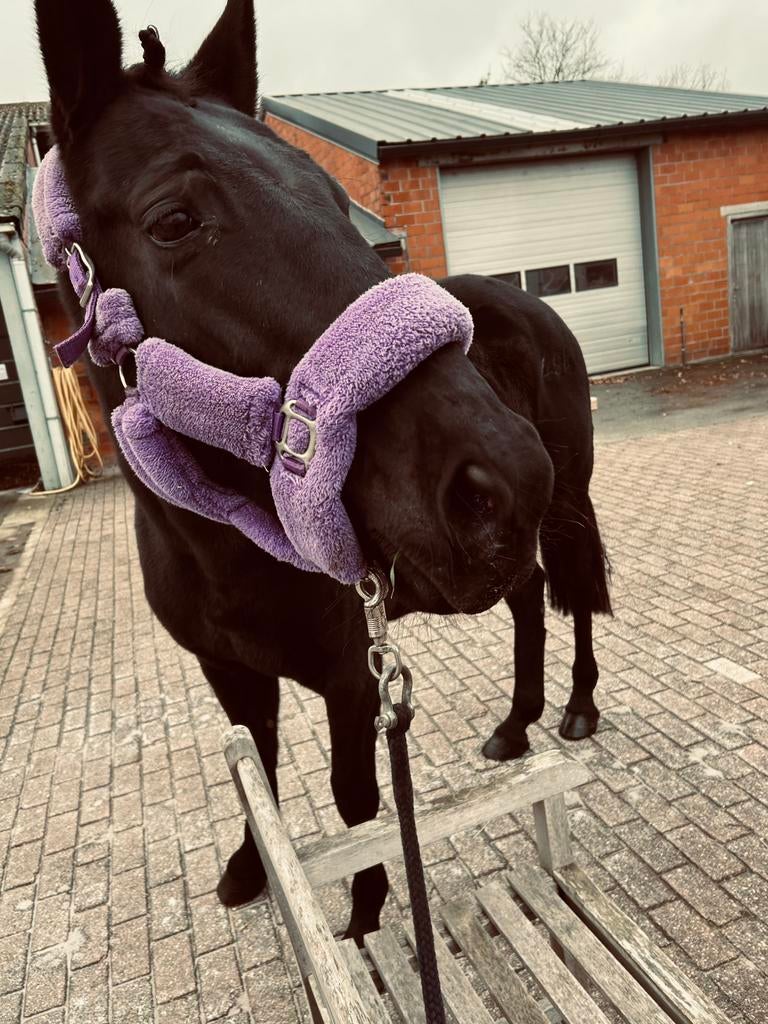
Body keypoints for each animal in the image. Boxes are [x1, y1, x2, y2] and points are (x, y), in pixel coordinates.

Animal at [35, 0, 611, 943]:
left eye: (337, 201)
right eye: (172, 221)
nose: (503, 470)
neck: (224, 551)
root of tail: (534, 302)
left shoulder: (350, 681)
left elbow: (356, 803)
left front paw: (365, 914)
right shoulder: (229, 674)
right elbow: (259, 773)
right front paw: (252, 868)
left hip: (568, 508)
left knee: (574, 597)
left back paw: (576, 709)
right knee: (530, 596)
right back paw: (515, 725)